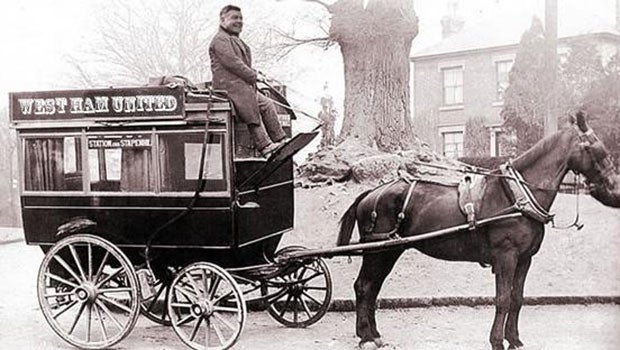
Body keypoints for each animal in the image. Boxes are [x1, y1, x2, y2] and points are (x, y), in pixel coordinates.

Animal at [336, 112, 620, 350]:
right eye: (595, 147)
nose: (614, 188)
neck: (516, 195)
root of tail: (371, 193)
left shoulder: (524, 259)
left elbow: (517, 298)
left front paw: (514, 339)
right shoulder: (506, 257)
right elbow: (502, 299)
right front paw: (497, 341)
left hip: (389, 251)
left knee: (373, 288)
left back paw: (373, 334)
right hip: (380, 251)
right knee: (364, 286)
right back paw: (366, 337)